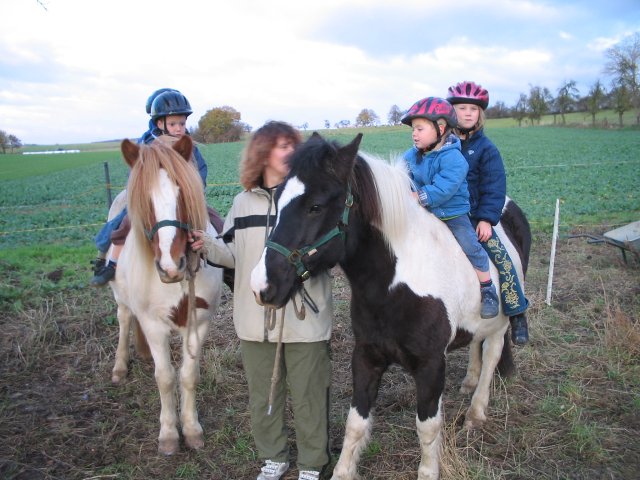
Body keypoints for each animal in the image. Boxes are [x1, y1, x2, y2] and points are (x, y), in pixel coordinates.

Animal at [107, 137, 222, 456]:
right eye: (145, 201)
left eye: (182, 195)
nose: (171, 267)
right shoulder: (153, 325)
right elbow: (166, 378)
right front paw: (169, 434)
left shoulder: (198, 324)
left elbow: (188, 375)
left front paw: (192, 429)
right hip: (121, 299)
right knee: (124, 319)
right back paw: (120, 367)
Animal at [250, 133, 528, 478]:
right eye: (278, 201)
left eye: (315, 206)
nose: (262, 285)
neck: (396, 282)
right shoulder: (366, 356)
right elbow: (355, 423)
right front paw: (343, 471)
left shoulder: (431, 365)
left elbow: (428, 427)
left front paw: (428, 472)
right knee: (478, 345)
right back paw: (469, 382)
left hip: (500, 323)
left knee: (491, 354)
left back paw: (476, 412)